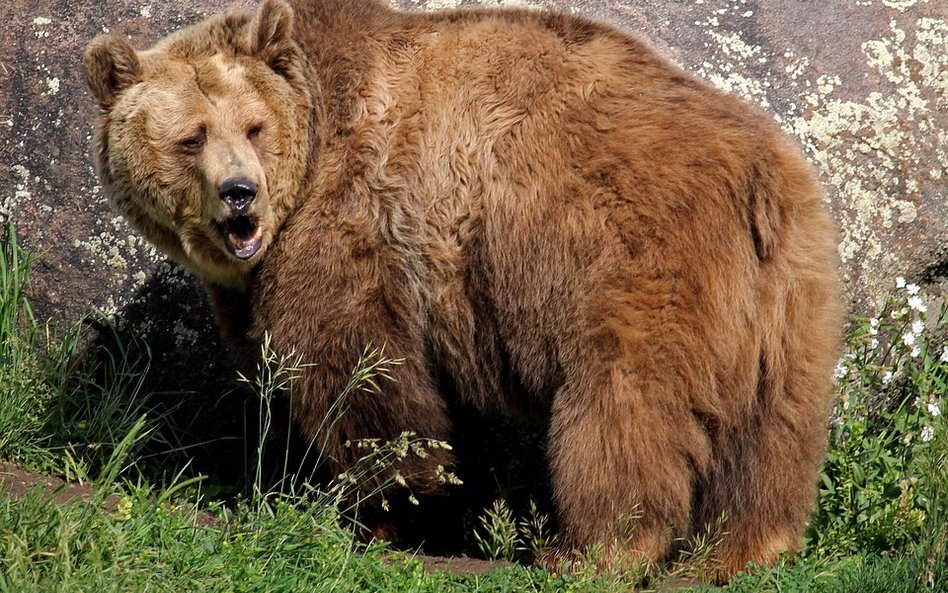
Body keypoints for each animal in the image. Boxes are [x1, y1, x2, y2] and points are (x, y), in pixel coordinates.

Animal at [81, 0, 836, 584]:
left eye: (253, 126)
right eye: (191, 137)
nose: (240, 193)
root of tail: (756, 172)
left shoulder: (356, 224)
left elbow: (359, 374)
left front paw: (386, 507)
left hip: (627, 262)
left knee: (623, 405)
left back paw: (592, 549)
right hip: (792, 290)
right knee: (773, 428)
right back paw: (740, 550)